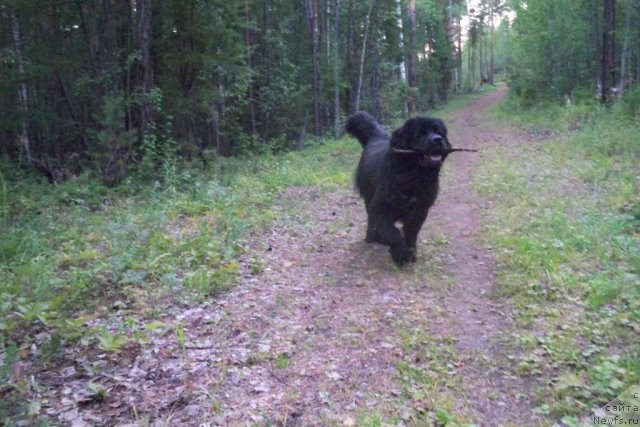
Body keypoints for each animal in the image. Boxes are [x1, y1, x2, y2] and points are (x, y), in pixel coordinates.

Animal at [344, 112, 450, 266]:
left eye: (439, 132)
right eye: (421, 133)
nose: (438, 139)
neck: (413, 175)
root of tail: (376, 137)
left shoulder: (420, 209)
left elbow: (411, 233)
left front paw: (410, 253)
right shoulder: (380, 207)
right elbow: (393, 233)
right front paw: (400, 254)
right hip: (368, 195)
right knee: (371, 220)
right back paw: (372, 237)